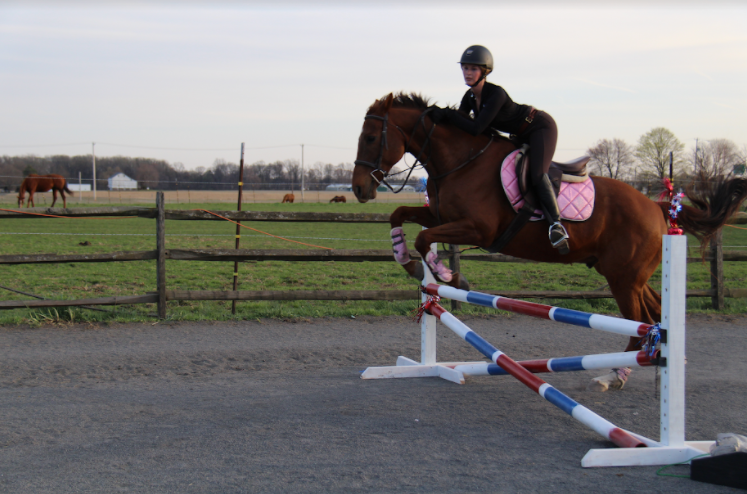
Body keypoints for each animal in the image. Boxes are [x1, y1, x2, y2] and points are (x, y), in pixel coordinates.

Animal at [352, 91, 747, 390]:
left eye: (370, 138)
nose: (359, 189)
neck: (461, 161)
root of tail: (657, 206)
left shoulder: (478, 229)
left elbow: (425, 239)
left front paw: (446, 275)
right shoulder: (442, 216)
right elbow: (401, 216)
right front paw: (407, 259)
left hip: (624, 279)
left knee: (641, 324)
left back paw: (615, 374)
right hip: (627, 275)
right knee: (654, 314)